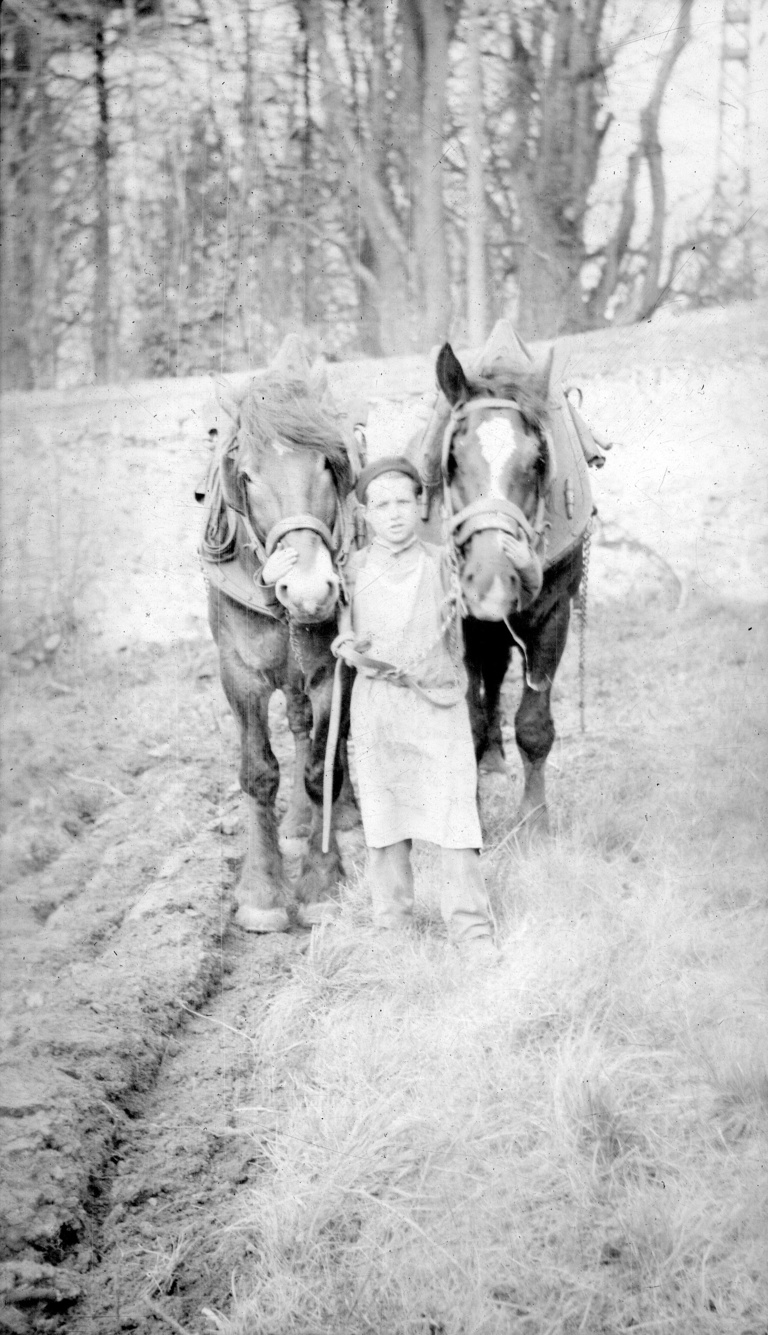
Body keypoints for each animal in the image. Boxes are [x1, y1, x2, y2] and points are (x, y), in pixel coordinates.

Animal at [201, 339, 363, 934]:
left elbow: (322, 767)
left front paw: (321, 881)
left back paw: (335, 818)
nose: (310, 589)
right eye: (246, 476)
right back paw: (294, 825)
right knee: (292, 725)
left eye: (328, 464)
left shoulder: (330, 670)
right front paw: (262, 892)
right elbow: (258, 774)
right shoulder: (239, 672)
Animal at [411, 319, 603, 833]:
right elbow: (470, 719)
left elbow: (534, 724)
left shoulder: (554, 614)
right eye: (452, 461)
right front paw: (470, 816)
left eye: (538, 462)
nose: (492, 584)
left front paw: (534, 820)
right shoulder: (463, 621)